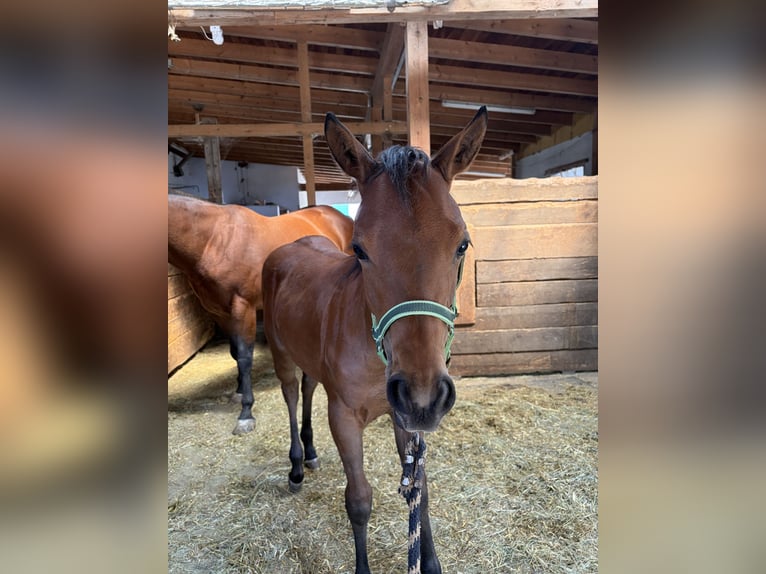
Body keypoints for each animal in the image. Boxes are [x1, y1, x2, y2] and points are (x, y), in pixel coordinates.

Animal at [168, 196, 354, 434]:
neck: (215, 239)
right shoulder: (221, 313)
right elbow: (234, 352)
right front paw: (238, 391)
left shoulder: (243, 307)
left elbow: (244, 356)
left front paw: (246, 413)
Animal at [262, 107, 487, 574]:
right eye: (360, 249)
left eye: (462, 244)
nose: (424, 394)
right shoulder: (345, 417)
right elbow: (359, 500)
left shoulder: (405, 418)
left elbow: (419, 489)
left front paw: (430, 563)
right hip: (281, 353)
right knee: (291, 395)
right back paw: (296, 466)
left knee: (308, 389)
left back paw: (311, 453)